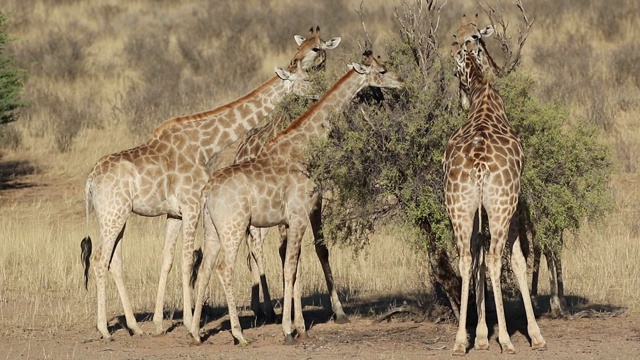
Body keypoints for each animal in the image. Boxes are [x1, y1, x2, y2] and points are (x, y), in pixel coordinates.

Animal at [79, 27, 340, 340]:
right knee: (98, 260)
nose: (321, 93)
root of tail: (90, 180)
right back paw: (104, 330)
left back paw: (134, 326)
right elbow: (189, 259)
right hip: (113, 214)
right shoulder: (191, 206)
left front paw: (160, 323)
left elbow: (169, 259)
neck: (205, 145)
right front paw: (189, 321)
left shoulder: (175, 213)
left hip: (116, 217)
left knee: (114, 261)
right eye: (304, 76)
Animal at [188, 51, 402, 346]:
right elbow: (290, 267)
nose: (402, 82)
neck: (301, 147)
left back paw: (196, 333)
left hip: (211, 229)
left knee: (206, 268)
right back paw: (239, 335)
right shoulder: (300, 213)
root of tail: (207, 192)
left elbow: (296, 266)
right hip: (234, 227)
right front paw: (289, 329)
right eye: (382, 71)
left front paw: (300, 326)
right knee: (224, 268)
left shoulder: (294, 219)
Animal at [444, 37, 544, 354]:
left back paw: (460, 341)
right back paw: (506, 341)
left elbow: (476, 256)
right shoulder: (513, 206)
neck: (484, 94)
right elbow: (519, 260)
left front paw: (480, 336)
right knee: (495, 260)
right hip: (501, 206)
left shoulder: (477, 210)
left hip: (459, 205)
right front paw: (535, 335)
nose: (460, 100)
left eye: (455, 71)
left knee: (466, 259)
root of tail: (478, 164)